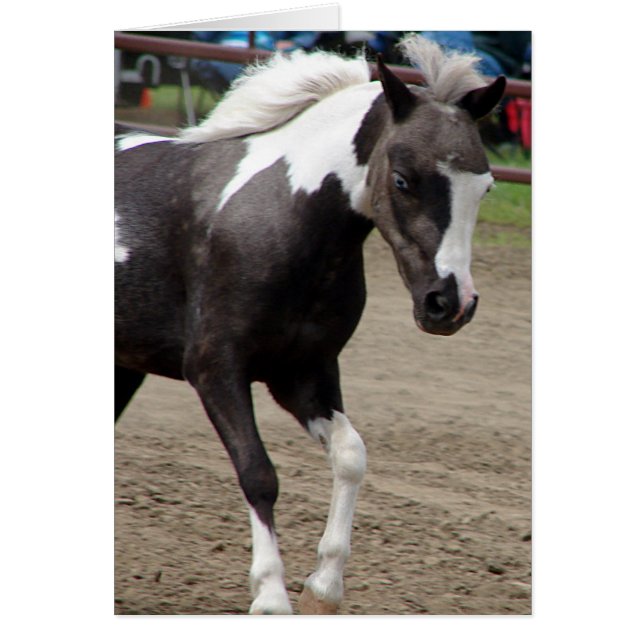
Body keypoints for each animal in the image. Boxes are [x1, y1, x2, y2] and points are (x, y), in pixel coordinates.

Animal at [114, 34, 506, 615]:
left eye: (485, 188)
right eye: (403, 180)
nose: (450, 304)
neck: (286, 220)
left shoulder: (304, 375)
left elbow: (350, 456)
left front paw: (323, 587)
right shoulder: (215, 370)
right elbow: (258, 474)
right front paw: (271, 595)